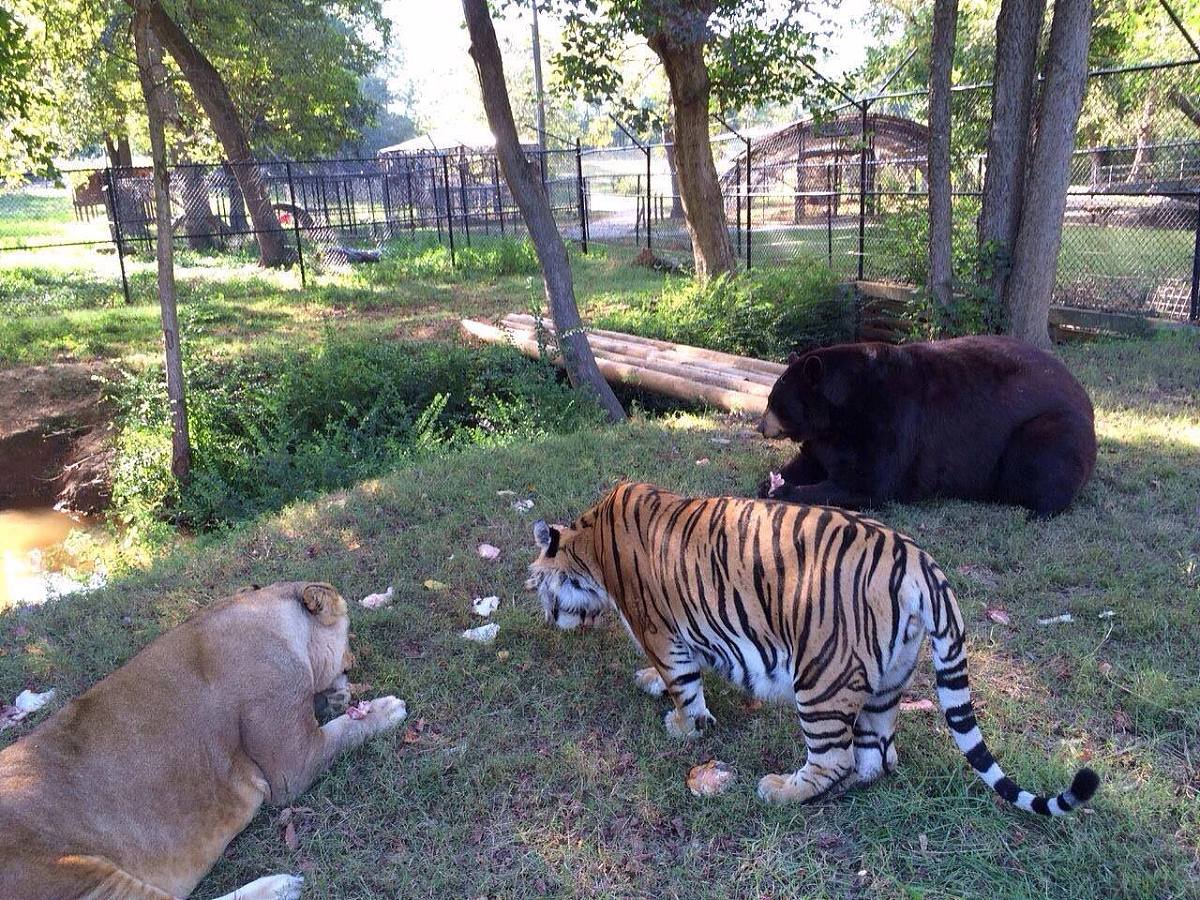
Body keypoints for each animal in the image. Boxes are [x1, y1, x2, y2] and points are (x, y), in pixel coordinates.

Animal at [756, 335, 1097, 518]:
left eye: (775, 402)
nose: (760, 427)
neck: (840, 409)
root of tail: (1085, 398)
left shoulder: (887, 420)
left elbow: (868, 483)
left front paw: (787, 489)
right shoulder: (828, 438)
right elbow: (811, 460)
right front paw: (771, 481)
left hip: (1052, 428)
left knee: (1041, 466)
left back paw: (1038, 509)